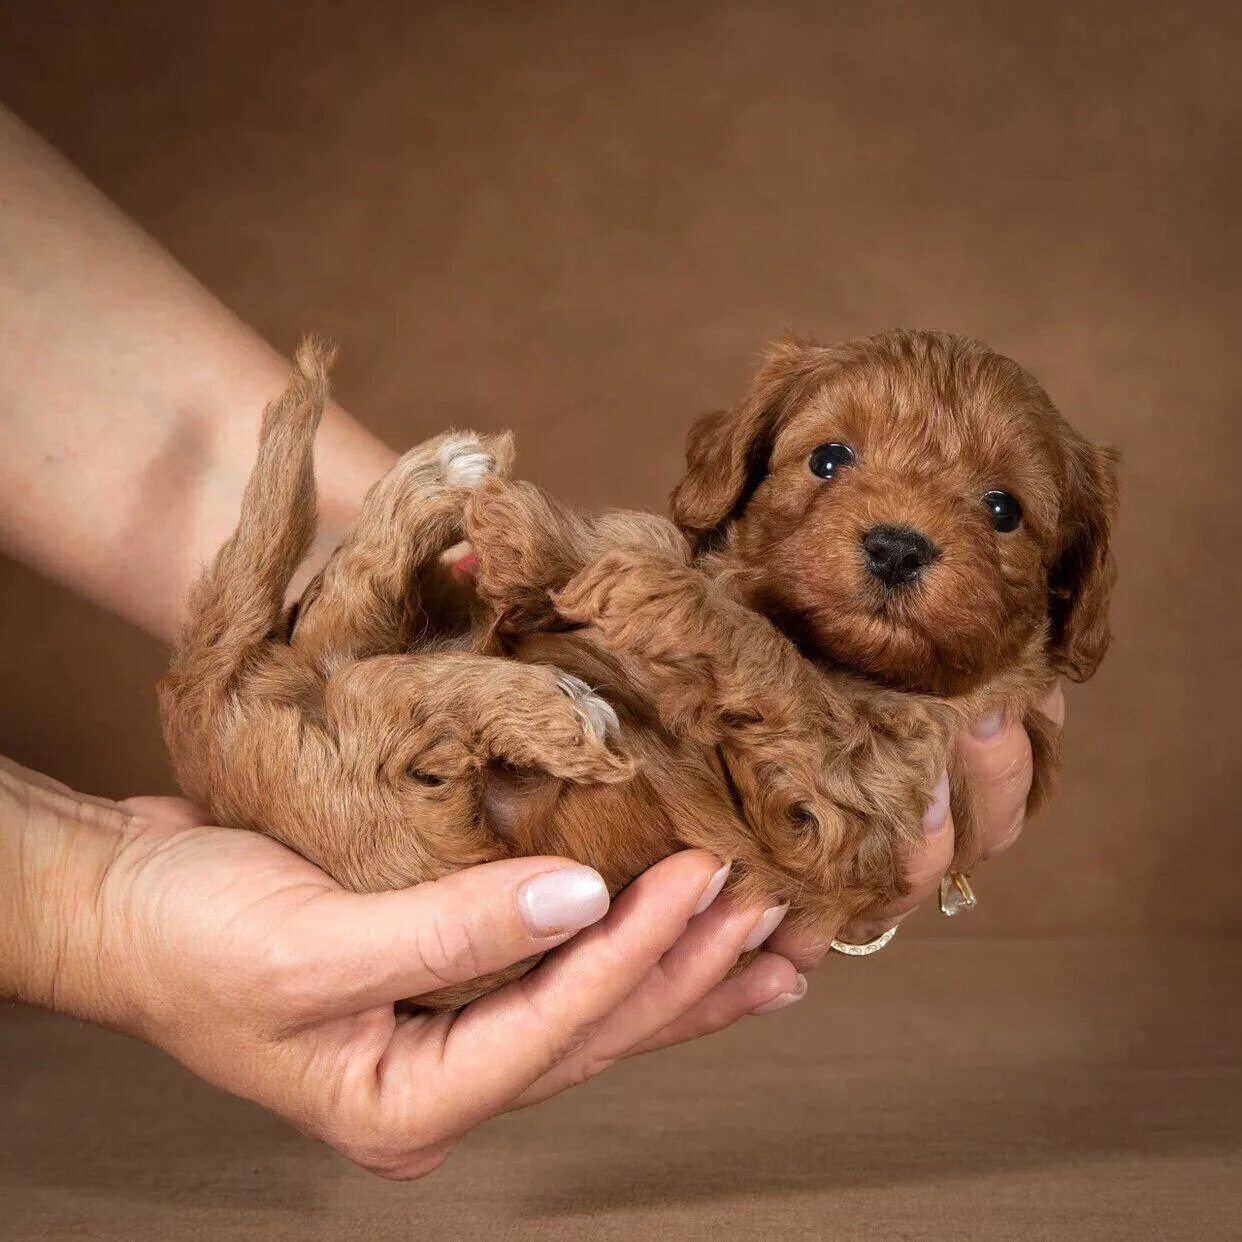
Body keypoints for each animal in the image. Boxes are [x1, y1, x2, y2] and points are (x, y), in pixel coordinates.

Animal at [157, 330, 1117, 1008]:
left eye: (1003, 509)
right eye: (829, 458)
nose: (897, 546)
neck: (834, 649)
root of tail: (213, 738)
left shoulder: (852, 796)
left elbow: (767, 662)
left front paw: (658, 598)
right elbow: (633, 541)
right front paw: (539, 544)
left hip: (406, 812)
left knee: (383, 688)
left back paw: (555, 705)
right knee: (344, 622)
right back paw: (448, 485)